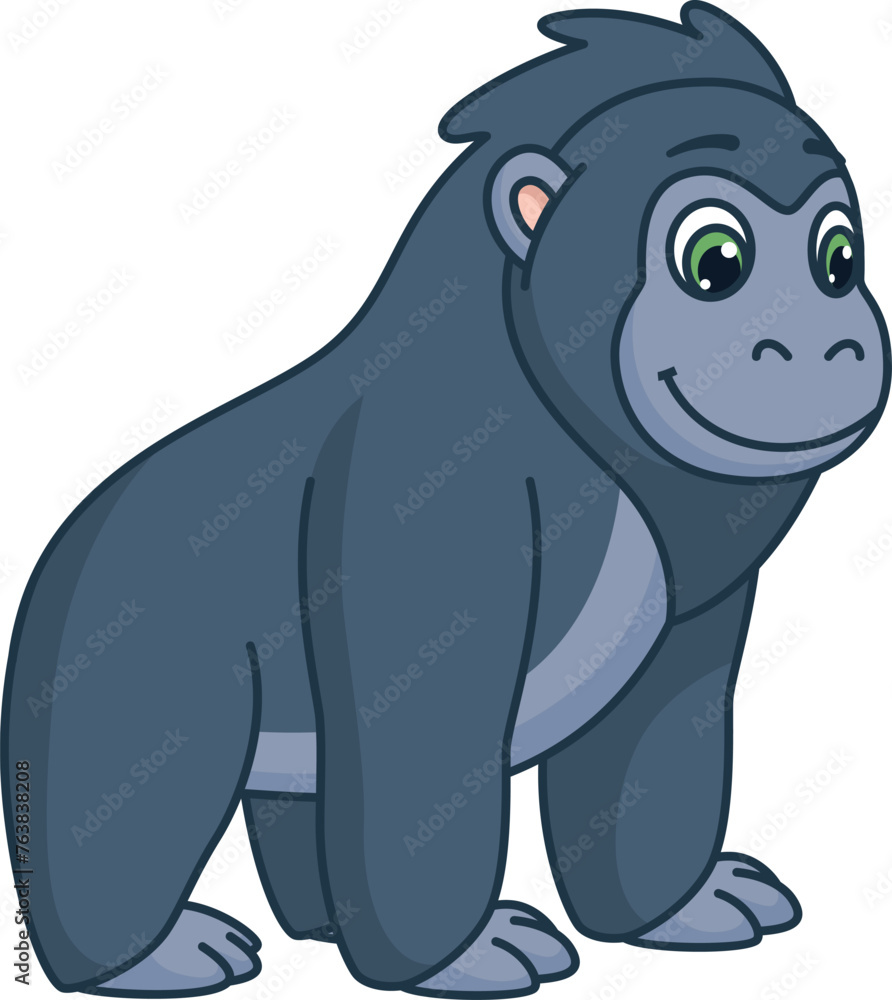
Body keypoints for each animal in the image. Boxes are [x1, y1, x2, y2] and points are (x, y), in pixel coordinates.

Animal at [3, 3, 889, 997]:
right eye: (715, 259)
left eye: (839, 258)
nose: (824, 343)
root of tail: (58, 554)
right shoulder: (434, 503)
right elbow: (425, 748)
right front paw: (462, 955)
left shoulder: (689, 626)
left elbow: (649, 748)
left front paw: (681, 909)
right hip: (125, 664)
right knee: (129, 804)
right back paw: (148, 956)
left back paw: (313, 929)